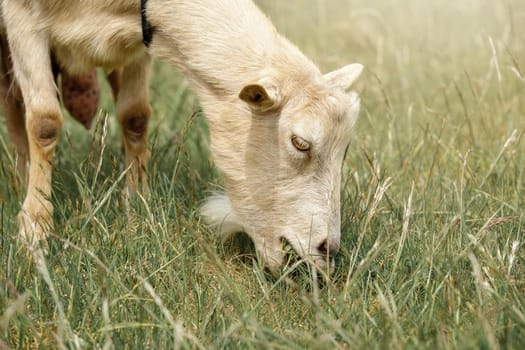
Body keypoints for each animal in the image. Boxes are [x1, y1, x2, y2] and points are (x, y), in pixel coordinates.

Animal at [1, 0, 360, 274]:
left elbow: (135, 116)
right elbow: (45, 123)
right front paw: (35, 230)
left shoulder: (139, 41)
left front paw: (138, 204)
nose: (328, 248)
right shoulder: (21, 19)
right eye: (300, 143)